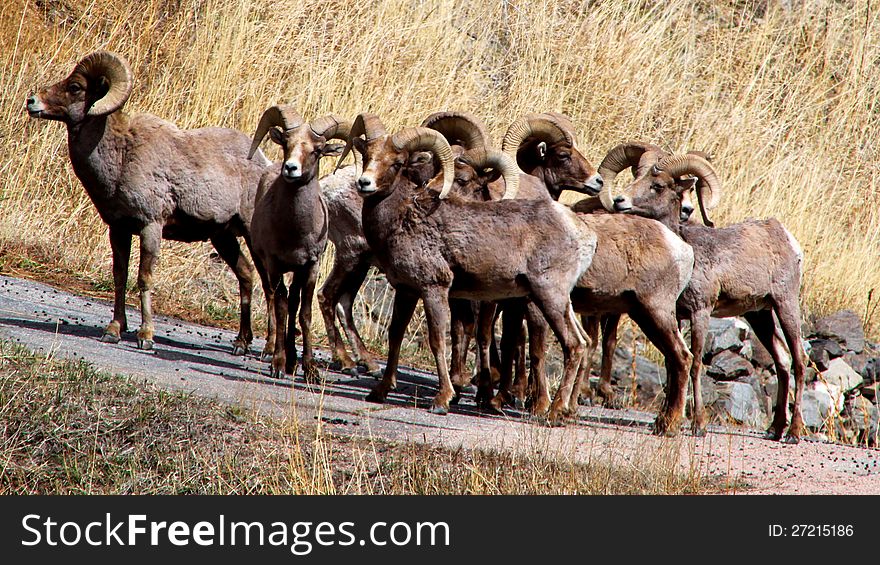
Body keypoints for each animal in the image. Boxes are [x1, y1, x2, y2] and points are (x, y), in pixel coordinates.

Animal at [26, 53, 268, 352]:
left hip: (251, 236)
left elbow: (144, 279)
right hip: (222, 237)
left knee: (271, 288)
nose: (32, 101)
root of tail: (265, 163)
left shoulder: (151, 227)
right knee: (246, 275)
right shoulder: (118, 229)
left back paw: (268, 352)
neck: (121, 158)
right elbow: (120, 276)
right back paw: (241, 344)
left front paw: (146, 336)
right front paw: (113, 330)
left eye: (75, 87)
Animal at [248, 106, 350, 378]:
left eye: (317, 150)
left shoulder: (311, 265)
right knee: (273, 299)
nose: (290, 168)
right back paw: (275, 354)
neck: (295, 231)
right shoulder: (275, 265)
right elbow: (281, 308)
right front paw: (278, 364)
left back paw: (294, 361)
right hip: (263, 264)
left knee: (294, 302)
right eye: (286, 143)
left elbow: (304, 312)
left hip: (297, 271)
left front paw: (310, 370)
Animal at [344, 113, 600, 424]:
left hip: (547, 295)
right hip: (561, 302)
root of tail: (582, 233)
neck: (404, 217)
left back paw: (551, 412)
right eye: (367, 155)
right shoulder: (406, 291)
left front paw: (443, 399)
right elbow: (395, 336)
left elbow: (438, 340)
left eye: (396, 163)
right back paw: (563, 411)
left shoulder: (434, 289)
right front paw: (379, 392)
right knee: (583, 341)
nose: (364, 183)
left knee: (573, 345)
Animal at [604, 143, 804, 442]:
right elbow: (672, 363)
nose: (619, 201)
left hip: (785, 305)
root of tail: (785, 235)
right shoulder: (675, 316)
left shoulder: (701, 312)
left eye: (658, 186)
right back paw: (774, 429)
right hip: (760, 316)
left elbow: (696, 363)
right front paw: (664, 421)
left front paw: (698, 425)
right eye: (636, 175)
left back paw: (793, 432)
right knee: (782, 360)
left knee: (799, 362)